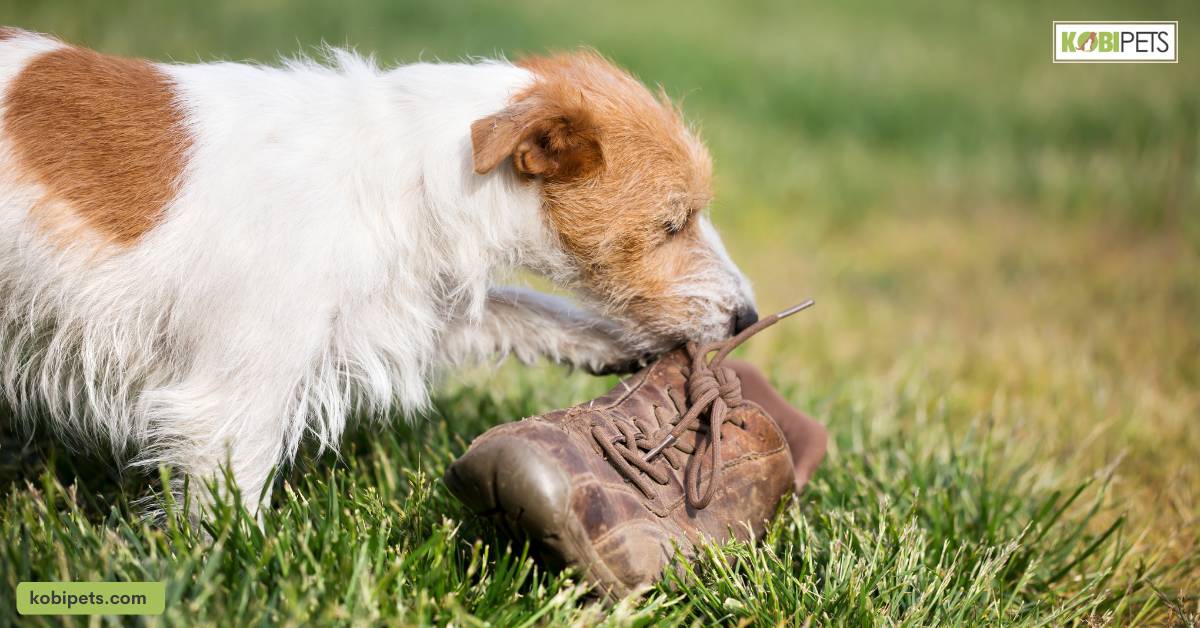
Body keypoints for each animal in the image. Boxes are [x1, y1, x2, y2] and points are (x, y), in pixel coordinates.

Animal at [0, 27, 753, 513]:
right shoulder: (236, 392)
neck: (411, 171)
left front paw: (612, 343)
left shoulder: (402, 310)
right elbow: (230, 494)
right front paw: (233, 574)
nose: (746, 314)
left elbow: (516, 308)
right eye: (673, 222)